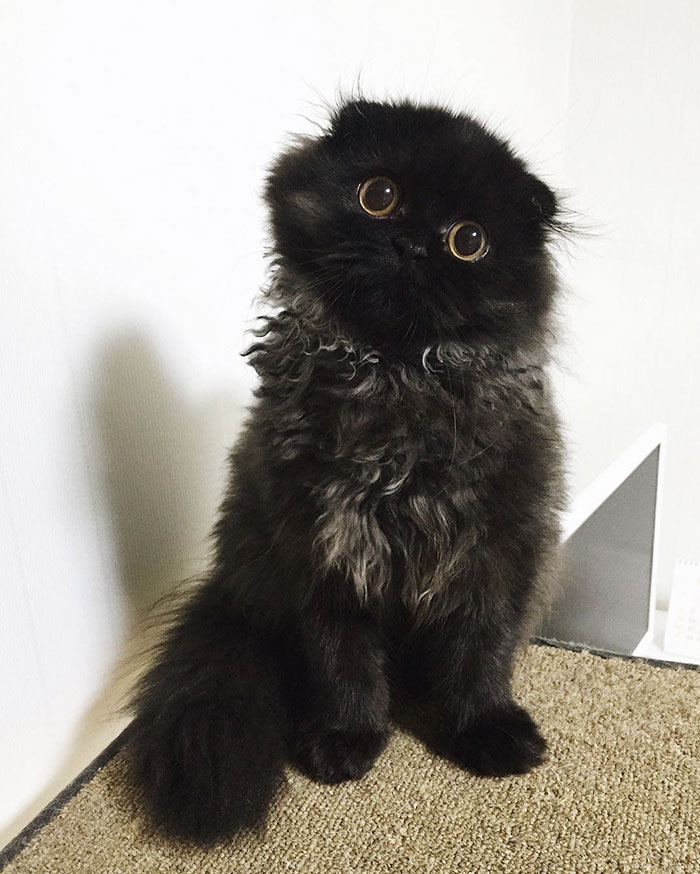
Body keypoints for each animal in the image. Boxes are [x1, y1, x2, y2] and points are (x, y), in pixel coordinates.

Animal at [129, 99, 568, 840]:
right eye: (379, 196)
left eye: (469, 241)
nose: (414, 245)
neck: (395, 382)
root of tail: (226, 588)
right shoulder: (325, 553)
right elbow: (345, 664)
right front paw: (346, 738)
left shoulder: (495, 550)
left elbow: (480, 656)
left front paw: (485, 731)